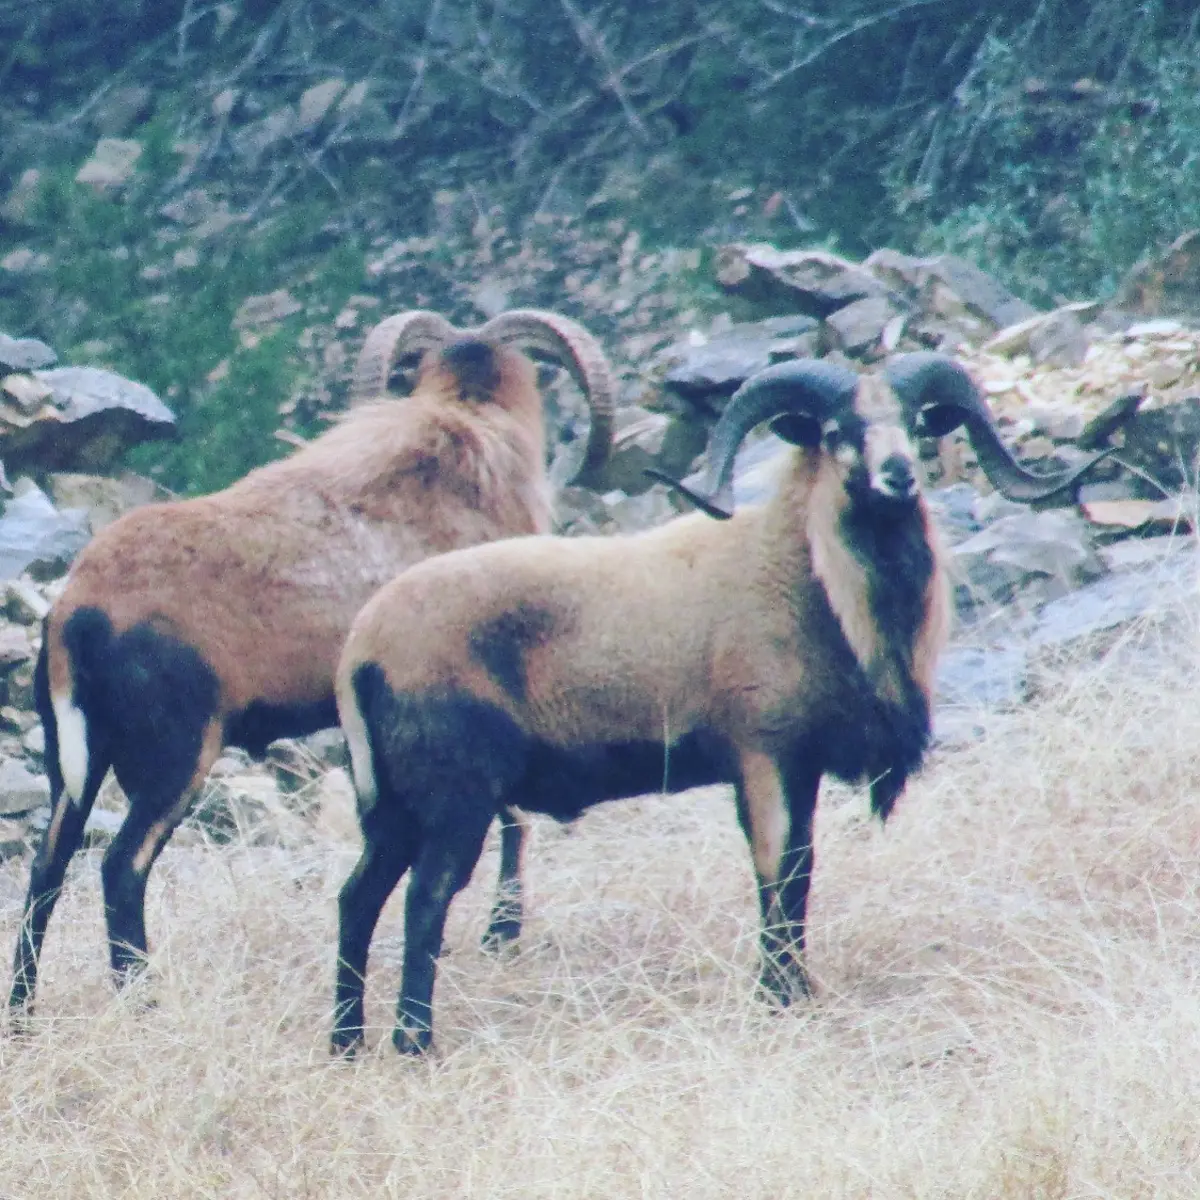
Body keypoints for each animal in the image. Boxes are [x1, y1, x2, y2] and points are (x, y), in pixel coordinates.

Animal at [8, 309, 615, 1021]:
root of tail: (78, 609)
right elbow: (513, 818)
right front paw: (503, 933)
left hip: (75, 756)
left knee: (50, 863)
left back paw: (23, 1012)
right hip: (176, 755)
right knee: (121, 868)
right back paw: (145, 1003)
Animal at [330, 351, 1124, 1056]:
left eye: (911, 423)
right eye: (837, 429)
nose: (898, 475)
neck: (804, 577)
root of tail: (362, 648)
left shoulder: (797, 769)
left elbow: (799, 873)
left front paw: (797, 989)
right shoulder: (765, 758)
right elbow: (778, 870)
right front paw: (778, 995)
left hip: (395, 811)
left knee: (357, 898)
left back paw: (347, 1043)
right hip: (455, 803)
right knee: (424, 902)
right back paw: (413, 1042)